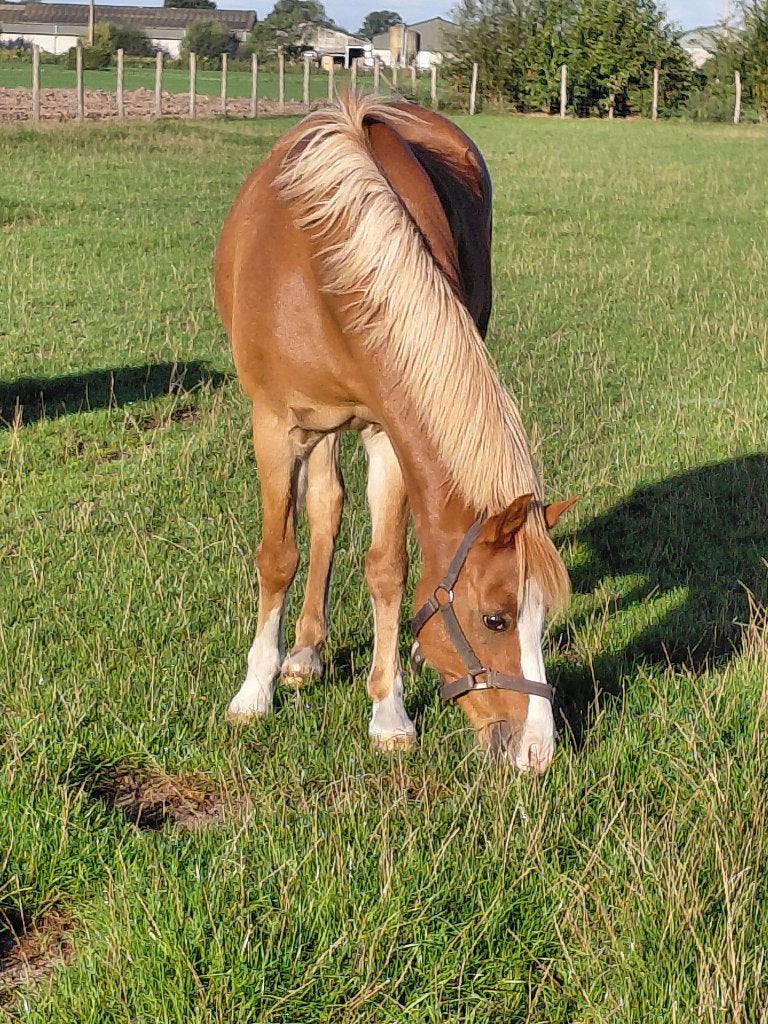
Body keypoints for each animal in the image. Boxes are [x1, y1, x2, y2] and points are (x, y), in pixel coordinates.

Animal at [214, 94, 577, 773]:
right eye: (495, 620)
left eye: (544, 619)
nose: (536, 752)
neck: (324, 265)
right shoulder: (275, 425)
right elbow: (278, 556)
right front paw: (254, 690)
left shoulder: (390, 431)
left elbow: (388, 568)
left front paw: (389, 712)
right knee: (324, 511)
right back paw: (303, 654)